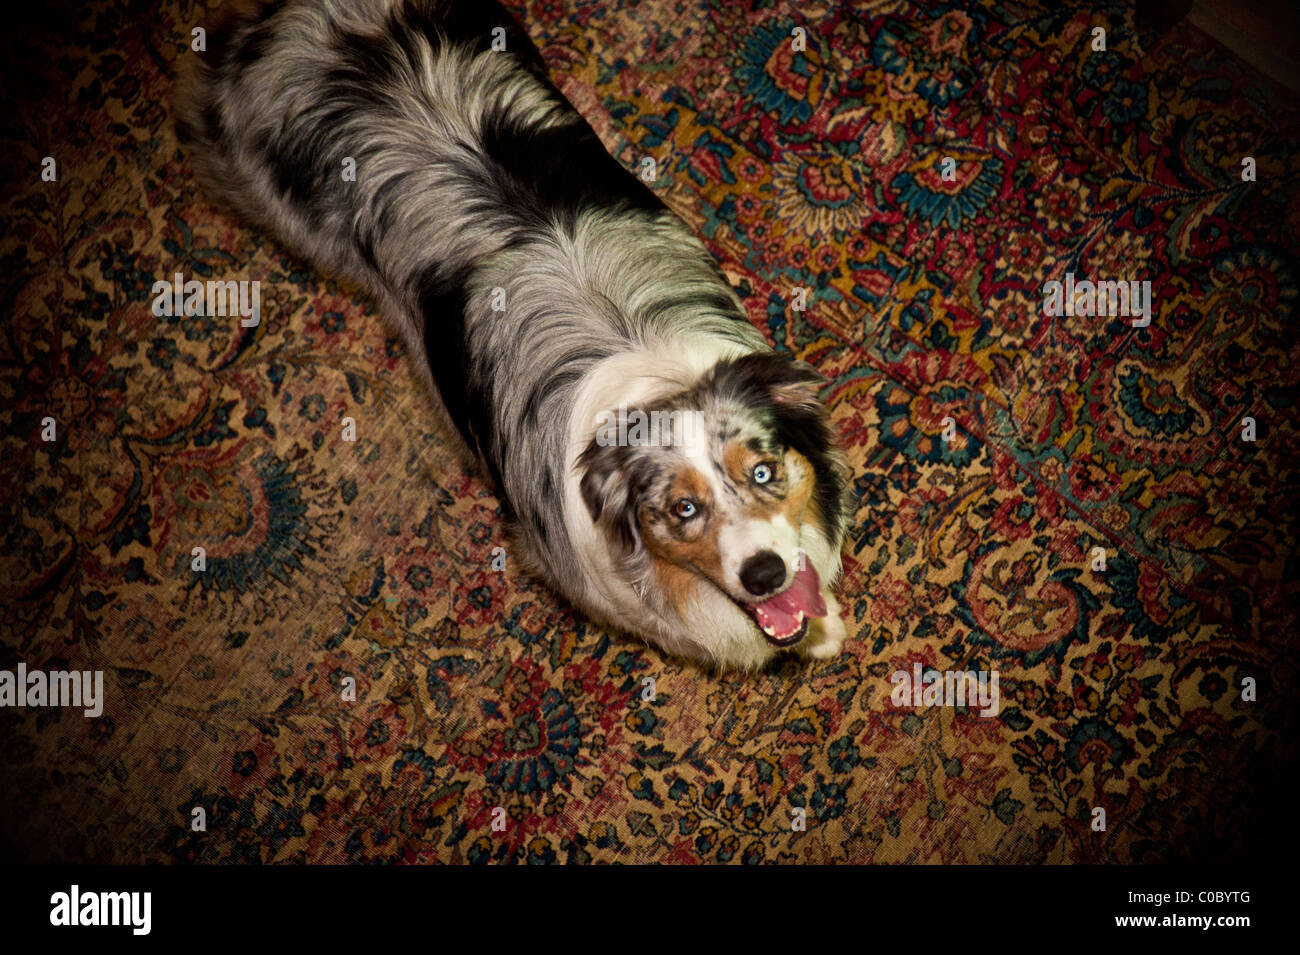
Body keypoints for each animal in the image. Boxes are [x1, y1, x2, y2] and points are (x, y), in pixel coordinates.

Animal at [178, 0, 857, 670]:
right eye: (681, 510)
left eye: (763, 472)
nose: (766, 575)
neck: (648, 376)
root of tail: (292, 20)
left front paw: (823, 628)